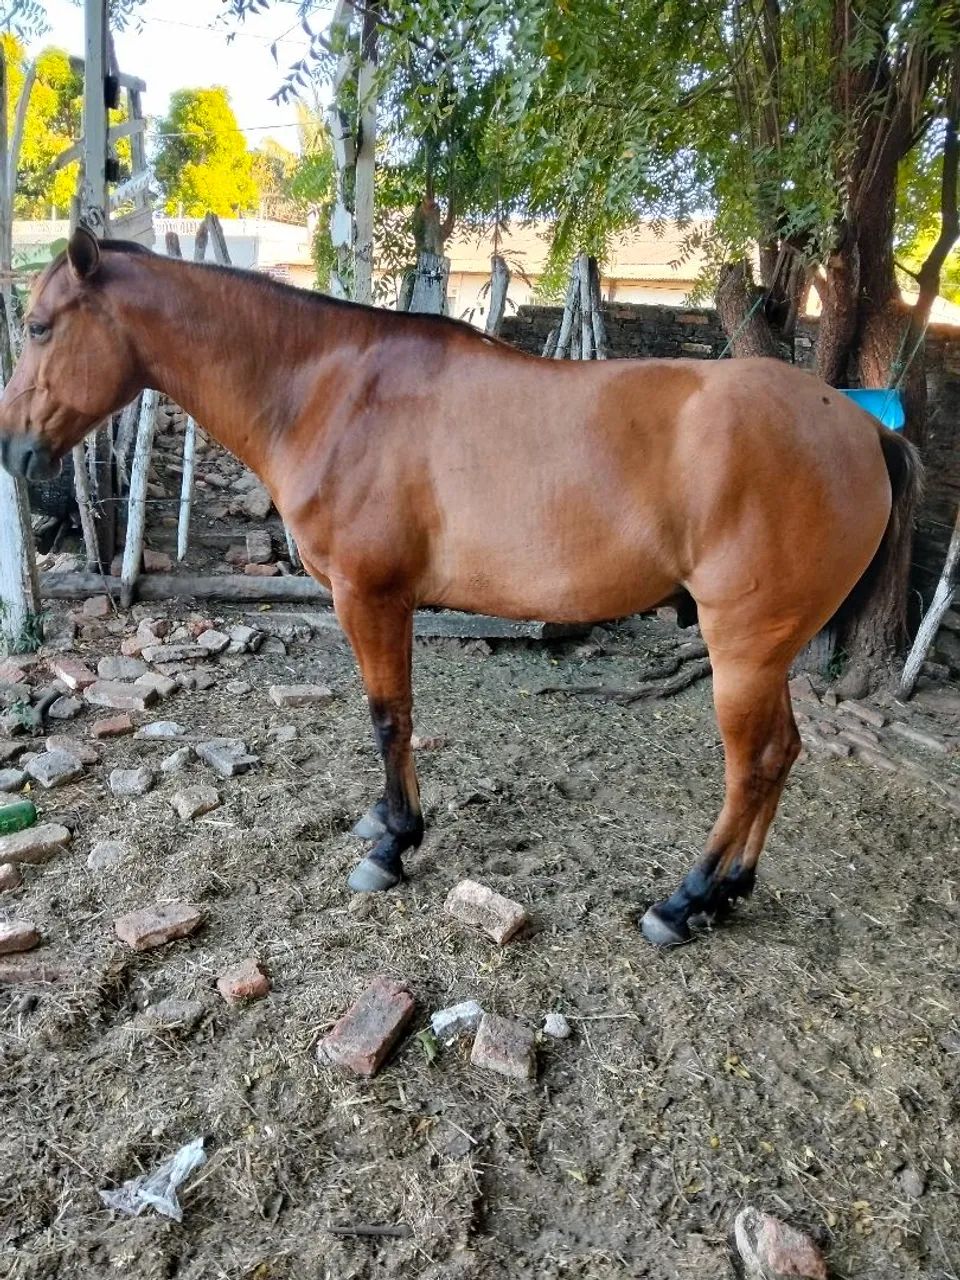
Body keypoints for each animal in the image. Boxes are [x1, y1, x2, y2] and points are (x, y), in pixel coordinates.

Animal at [0, 228, 921, 946]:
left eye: (39, 326)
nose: (12, 450)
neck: (329, 390)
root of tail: (864, 428)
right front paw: (386, 824)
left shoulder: (371, 596)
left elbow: (389, 719)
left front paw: (392, 846)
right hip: (771, 651)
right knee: (783, 754)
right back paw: (731, 892)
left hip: (744, 648)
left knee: (752, 765)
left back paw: (683, 901)